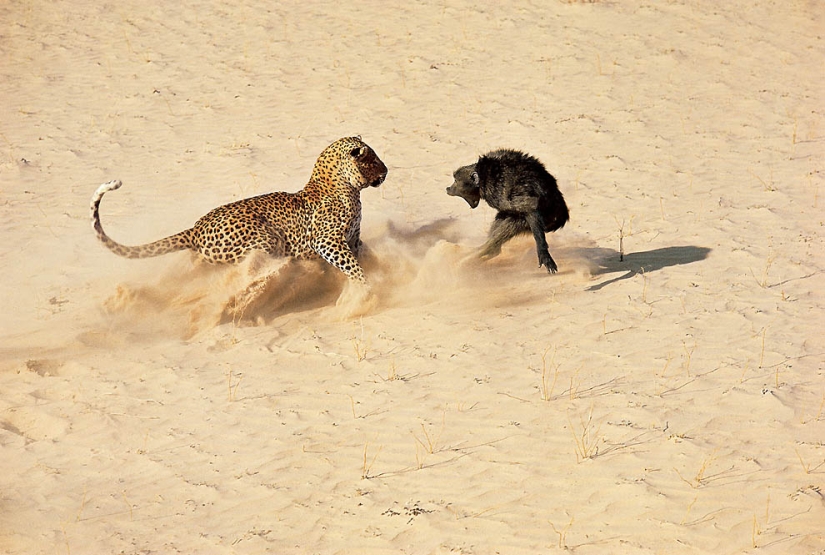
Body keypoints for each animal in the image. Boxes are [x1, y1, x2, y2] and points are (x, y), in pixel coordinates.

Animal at [91, 134, 388, 282]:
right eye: (372, 159)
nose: (386, 171)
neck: (347, 188)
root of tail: (195, 228)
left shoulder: (353, 238)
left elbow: (361, 257)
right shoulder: (326, 241)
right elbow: (353, 267)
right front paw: (367, 287)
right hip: (266, 240)